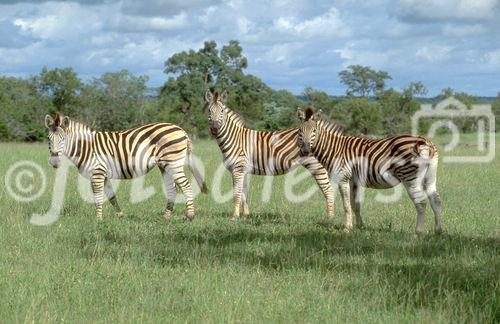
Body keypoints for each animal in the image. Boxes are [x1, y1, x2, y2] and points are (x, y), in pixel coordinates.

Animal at [44, 111, 206, 220]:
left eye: (63, 139)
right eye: (48, 138)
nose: (54, 162)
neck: (86, 147)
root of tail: (181, 130)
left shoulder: (97, 173)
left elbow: (98, 198)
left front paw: (98, 220)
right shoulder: (103, 174)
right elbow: (111, 196)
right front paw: (120, 215)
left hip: (173, 162)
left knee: (186, 186)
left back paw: (190, 215)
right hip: (164, 165)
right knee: (172, 188)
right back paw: (166, 216)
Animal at [205, 90, 334, 219]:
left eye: (222, 111)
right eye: (209, 111)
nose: (215, 129)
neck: (235, 138)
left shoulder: (238, 169)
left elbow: (237, 193)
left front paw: (234, 217)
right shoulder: (242, 170)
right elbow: (244, 193)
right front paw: (245, 215)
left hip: (317, 166)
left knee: (329, 190)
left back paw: (330, 218)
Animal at [296, 107, 442, 234]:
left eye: (314, 131)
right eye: (300, 131)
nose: (305, 151)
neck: (335, 148)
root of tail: (425, 142)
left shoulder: (343, 177)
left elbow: (346, 205)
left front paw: (347, 228)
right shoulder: (354, 180)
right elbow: (355, 204)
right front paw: (359, 226)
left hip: (410, 178)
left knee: (421, 203)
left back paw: (419, 232)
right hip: (429, 177)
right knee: (435, 200)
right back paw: (438, 231)